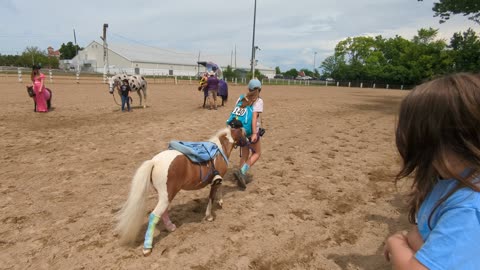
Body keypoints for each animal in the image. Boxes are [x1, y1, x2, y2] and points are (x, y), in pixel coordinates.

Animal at [114, 124, 246, 255]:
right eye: (244, 134)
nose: (248, 142)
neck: (219, 150)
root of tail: (154, 162)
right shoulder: (215, 181)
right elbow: (211, 198)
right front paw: (209, 216)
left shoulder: (218, 180)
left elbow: (219, 189)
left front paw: (220, 202)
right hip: (167, 195)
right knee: (154, 215)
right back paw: (147, 247)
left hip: (165, 196)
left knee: (164, 211)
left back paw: (170, 227)